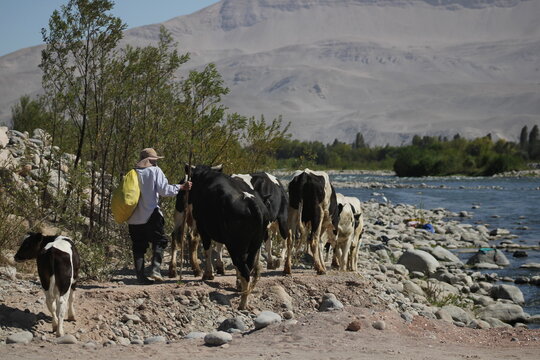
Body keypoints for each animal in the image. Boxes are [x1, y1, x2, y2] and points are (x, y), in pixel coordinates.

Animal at [186, 165, 270, 308]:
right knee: (248, 267)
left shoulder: (203, 228)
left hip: (236, 245)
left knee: (244, 270)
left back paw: (242, 303)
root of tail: (252, 203)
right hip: (253, 245)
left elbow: (207, 250)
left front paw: (208, 274)